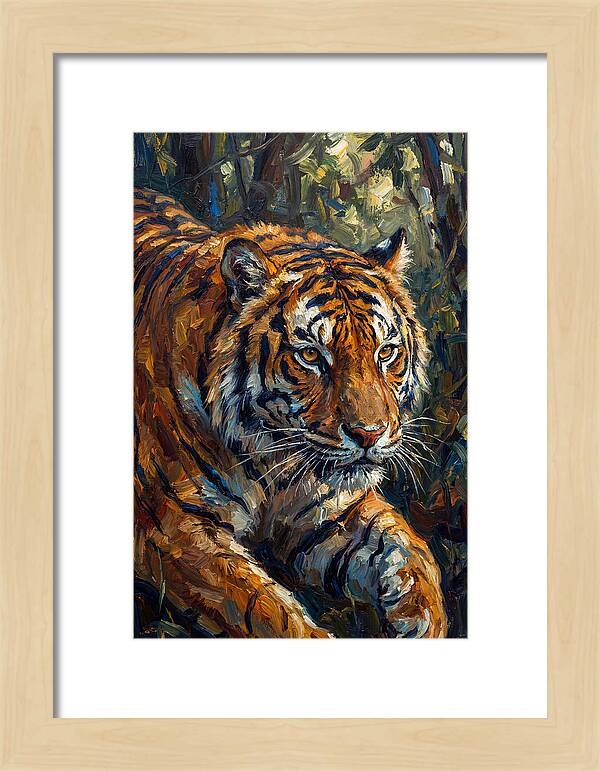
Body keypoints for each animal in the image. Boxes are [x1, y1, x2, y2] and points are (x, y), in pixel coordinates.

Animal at [134, 187, 447, 638]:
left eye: (386, 353)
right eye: (312, 356)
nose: (369, 434)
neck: (272, 462)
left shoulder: (333, 509)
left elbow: (411, 552)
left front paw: (424, 622)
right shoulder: (173, 527)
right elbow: (264, 609)